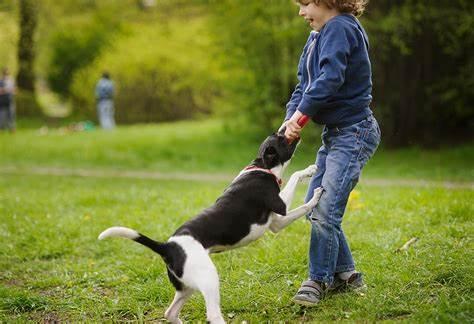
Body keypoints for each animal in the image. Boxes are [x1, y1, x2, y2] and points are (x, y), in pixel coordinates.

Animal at [98, 130, 324, 322]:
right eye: (282, 138)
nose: (293, 130)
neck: (262, 167)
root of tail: (167, 247)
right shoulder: (281, 207)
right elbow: (296, 184)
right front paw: (314, 190)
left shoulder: (277, 222)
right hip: (209, 279)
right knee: (213, 315)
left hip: (187, 287)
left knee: (171, 313)